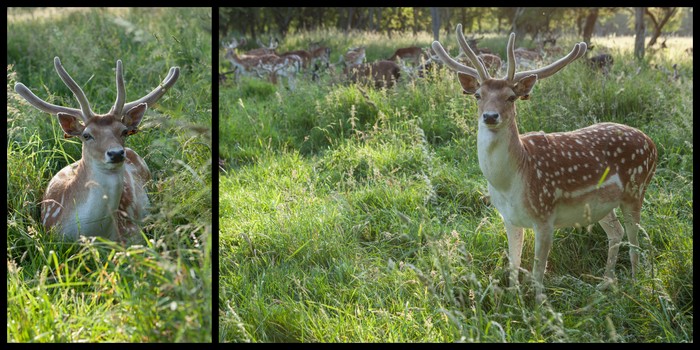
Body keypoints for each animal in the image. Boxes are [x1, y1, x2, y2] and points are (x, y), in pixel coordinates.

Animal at [432, 25, 656, 304]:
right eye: (477, 95)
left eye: (511, 97)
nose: (490, 116)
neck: (511, 181)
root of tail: (653, 144)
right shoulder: (509, 219)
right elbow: (514, 264)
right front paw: (514, 300)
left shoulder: (545, 216)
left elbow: (539, 272)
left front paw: (539, 308)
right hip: (601, 205)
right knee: (616, 232)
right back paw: (605, 283)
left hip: (636, 190)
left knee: (636, 238)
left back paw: (635, 286)